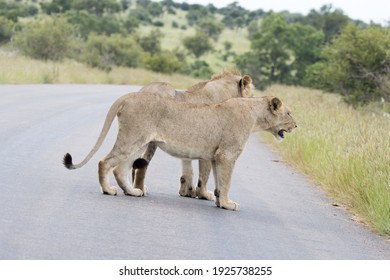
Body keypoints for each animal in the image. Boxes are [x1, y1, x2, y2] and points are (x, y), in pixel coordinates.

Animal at [62, 93, 298, 211]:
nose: (297, 125)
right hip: (132, 138)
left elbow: (219, 183)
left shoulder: (217, 156)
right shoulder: (227, 155)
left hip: (138, 143)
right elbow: (227, 182)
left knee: (120, 169)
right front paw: (228, 204)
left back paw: (132, 192)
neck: (255, 116)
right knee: (105, 161)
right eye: (288, 113)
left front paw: (219, 202)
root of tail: (128, 96)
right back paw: (108, 190)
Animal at [132, 70, 253, 201]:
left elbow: (187, 168)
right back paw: (139, 189)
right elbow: (204, 173)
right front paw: (204, 194)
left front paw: (186, 191)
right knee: (142, 162)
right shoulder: (208, 145)